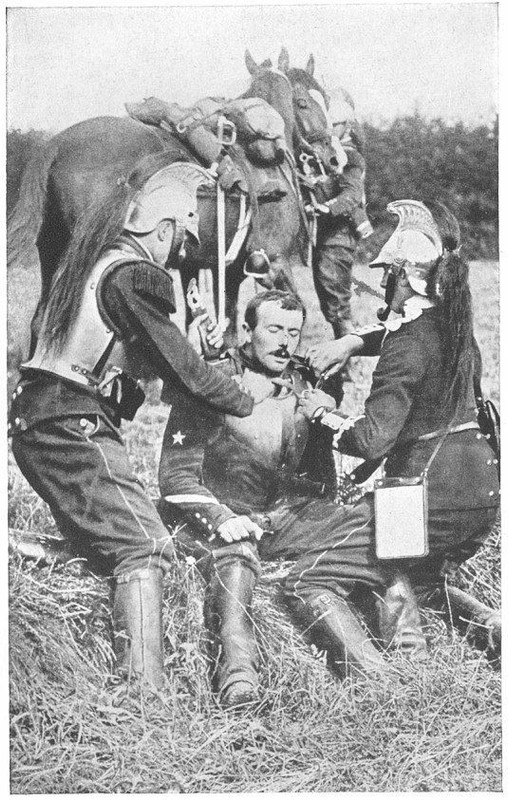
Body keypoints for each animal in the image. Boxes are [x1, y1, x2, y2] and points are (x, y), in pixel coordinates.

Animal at [7, 47, 334, 354]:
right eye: (304, 102)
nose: (332, 157)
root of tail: (55, 145)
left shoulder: (217, 268)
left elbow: (217, 327)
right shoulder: (273, 261)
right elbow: (295, 309)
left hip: (54, 251)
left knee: (42, 321)